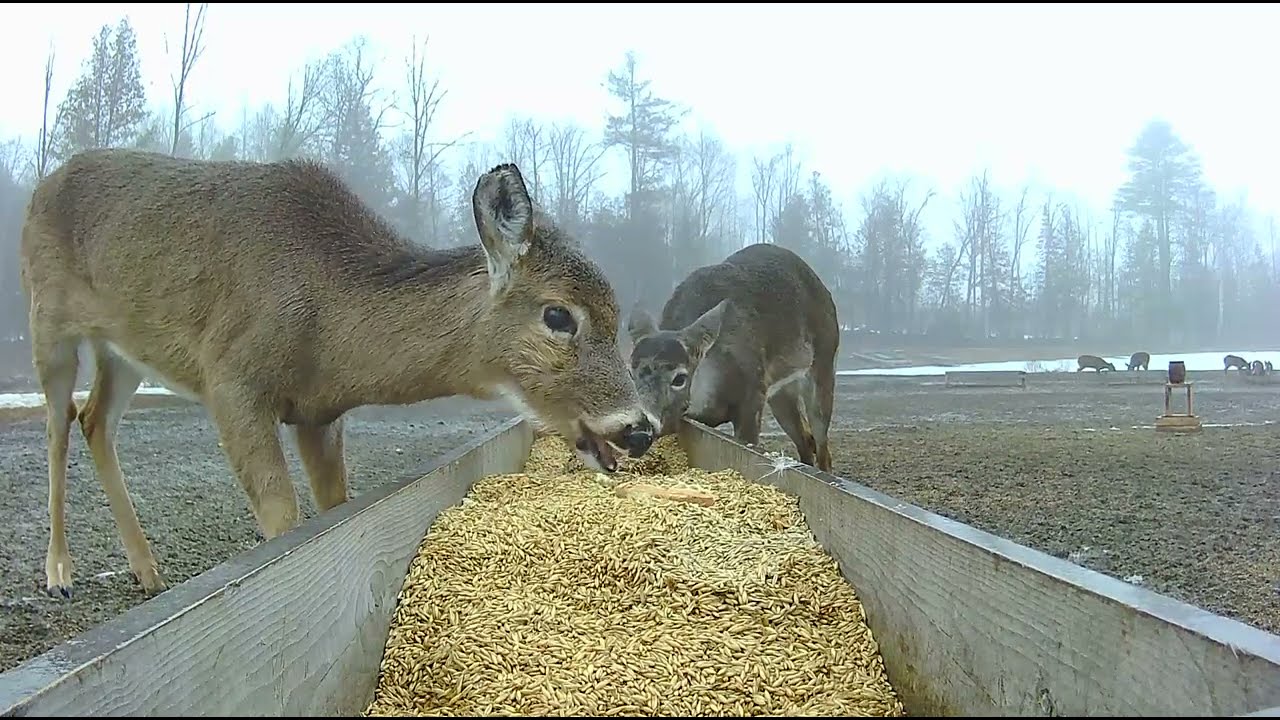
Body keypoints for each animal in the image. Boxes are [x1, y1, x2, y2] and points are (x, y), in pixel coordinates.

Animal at [17, 148, 660, 597]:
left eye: (617, 315)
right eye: (559, 314)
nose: (639, 428)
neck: (325, 321)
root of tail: (44, 183)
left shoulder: (319, 414)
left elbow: (332, 508)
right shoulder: (231, 376)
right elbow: (282, 519)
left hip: (124, 349)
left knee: (94, 418)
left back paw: (147, 572)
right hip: (46, 315)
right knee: (56, 422)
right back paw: (59, 573)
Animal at [622, 243, 839, 471]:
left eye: (680, 378)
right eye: (630, 372)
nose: (638, 432)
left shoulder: (753, 394)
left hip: (824, 360)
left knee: (822, 445)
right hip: (779, 391)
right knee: (805, 441)